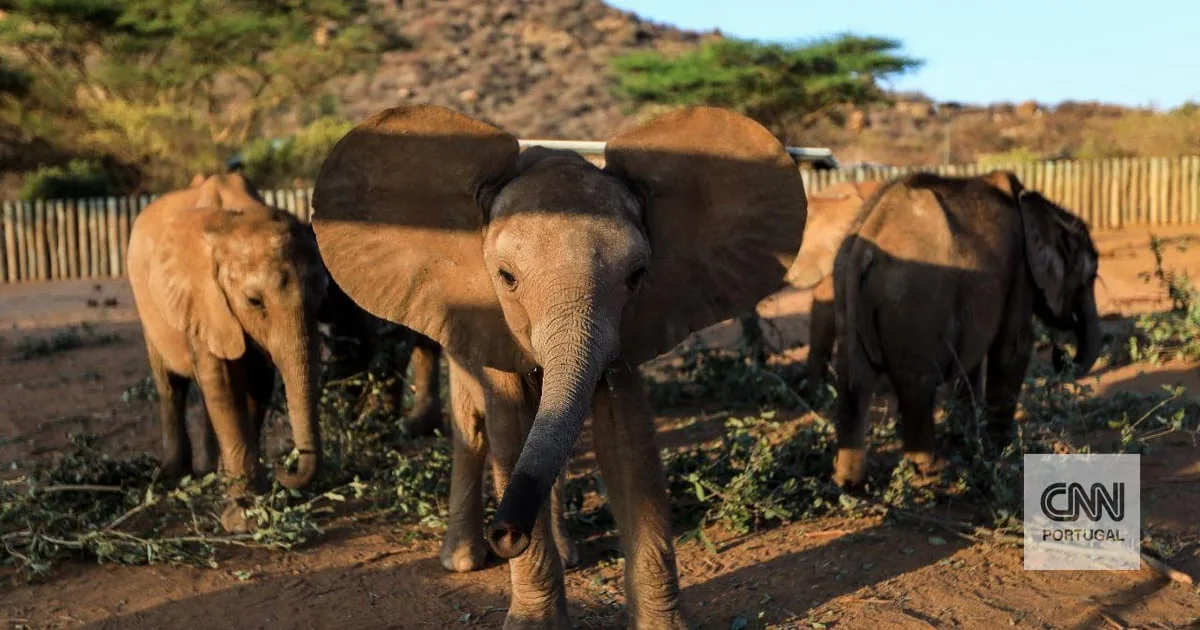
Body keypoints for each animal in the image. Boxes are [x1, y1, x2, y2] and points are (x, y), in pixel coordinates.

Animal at [127, 172, 329, 532]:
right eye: (254, 301)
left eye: (322, 297)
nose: (286, 468)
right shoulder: (202, 297)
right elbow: (219, 378)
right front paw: (244, 519)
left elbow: (256, 384)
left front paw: (248, 499)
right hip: (147, 307)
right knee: (170, 384)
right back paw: (174, 476)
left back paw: (211, 472)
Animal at [309, 104, 808, 629]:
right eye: (506, 277)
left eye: (638, 275)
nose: (507, 534)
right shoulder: (492, 320)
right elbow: (510, 431)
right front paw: (533, 623)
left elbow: (628, 440)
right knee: (473, 428)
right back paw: (463, 560)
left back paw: (566, 555)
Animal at [830, 170, 1101, 487]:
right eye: (1090, 278)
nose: (1060, 354)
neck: (1043, 205)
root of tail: (866, 241)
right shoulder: (1020, 270)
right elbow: (1013, 349)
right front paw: (1002, 450)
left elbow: (970, 363)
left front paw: (968, 443)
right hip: (915, 306)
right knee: (917, 386)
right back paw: (934, 472)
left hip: (845, 291)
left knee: (855, 382)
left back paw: (850, 482)